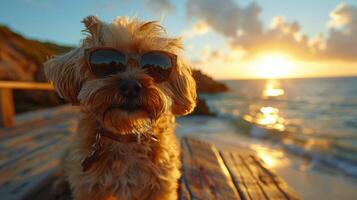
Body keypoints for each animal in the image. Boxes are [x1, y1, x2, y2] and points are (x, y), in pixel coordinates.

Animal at [43, 16, 197, 200]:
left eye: (155, 66)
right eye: (106, 63)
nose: (130, 86)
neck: (125, 136)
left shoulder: (161, 185)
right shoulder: (89, 185)